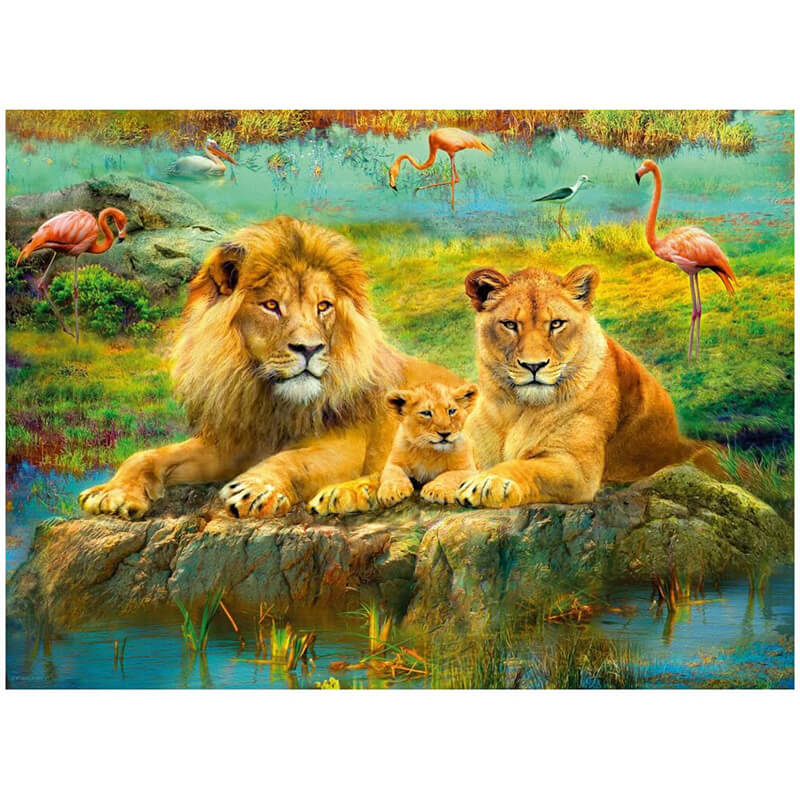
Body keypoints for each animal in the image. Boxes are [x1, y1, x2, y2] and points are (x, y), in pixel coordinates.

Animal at [78, 216, 459, 520]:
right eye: (272, 305)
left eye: (323, 306)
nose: (309, 348)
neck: (271, 401)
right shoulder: (232, 443)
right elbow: (148, 455)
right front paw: (112, 492)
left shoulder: (347, 446)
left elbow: (293, 460)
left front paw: (255, 488)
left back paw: (347, 493)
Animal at [454, 264, 723, 509]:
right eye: (509, 324)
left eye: (556, 324)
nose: (534, 365)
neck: (516, 409)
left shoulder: (576, 468)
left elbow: (525, 466)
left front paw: (489, 482)